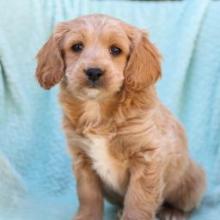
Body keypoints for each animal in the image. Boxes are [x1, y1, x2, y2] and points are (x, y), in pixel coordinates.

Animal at [35, 14, 205, 220]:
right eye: (77, 47)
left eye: (116, 50)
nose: (94, 72)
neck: (97, 108)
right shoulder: (83, 159)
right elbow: (88, 195)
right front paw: (87, 216)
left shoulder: (146, 158)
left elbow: (138, 200)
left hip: (192, 182)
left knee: (186, 203)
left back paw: (173, 211)